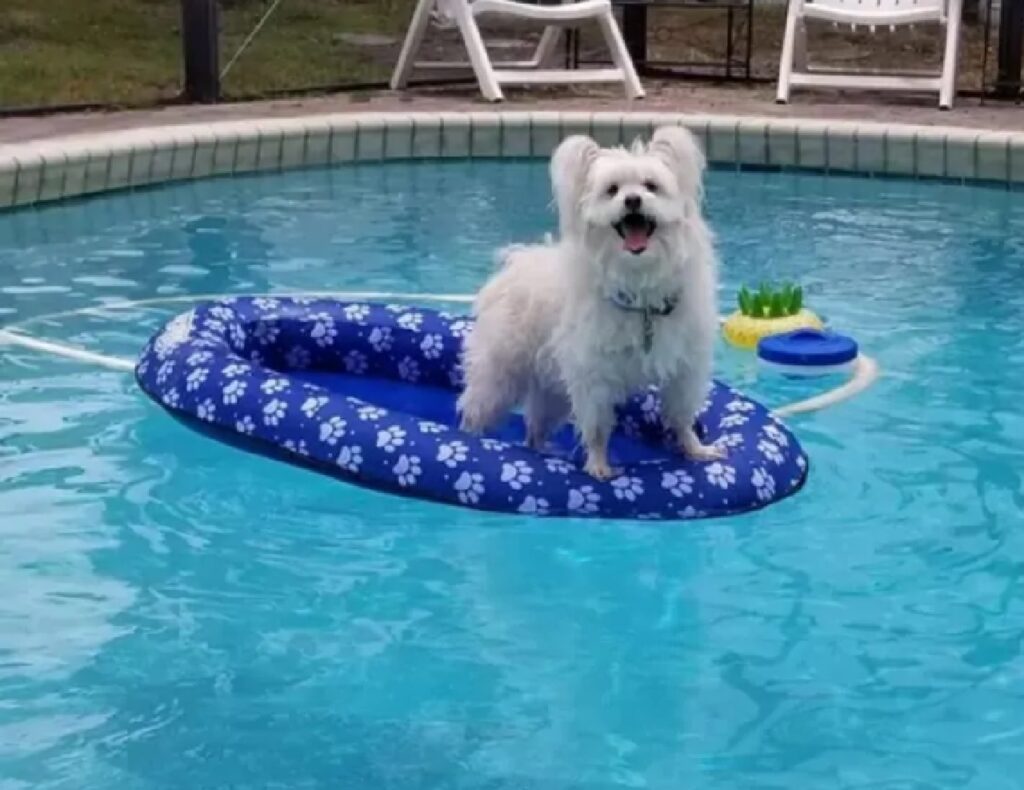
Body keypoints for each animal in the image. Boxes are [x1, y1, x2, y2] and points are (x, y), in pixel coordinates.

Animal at [460, 126, 724, 479]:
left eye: (651, 186)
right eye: (612, 190)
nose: (632, 199)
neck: (638, 280)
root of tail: (518, 262)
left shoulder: (686, 369)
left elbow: (682, 416)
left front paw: (696, 449)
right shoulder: (593, 375)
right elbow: (597, 427)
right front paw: (599, 465)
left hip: (552, 390)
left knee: (535, 430)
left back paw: (542, 451)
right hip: (499, 377)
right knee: (476, 411)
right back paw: (469, 440)